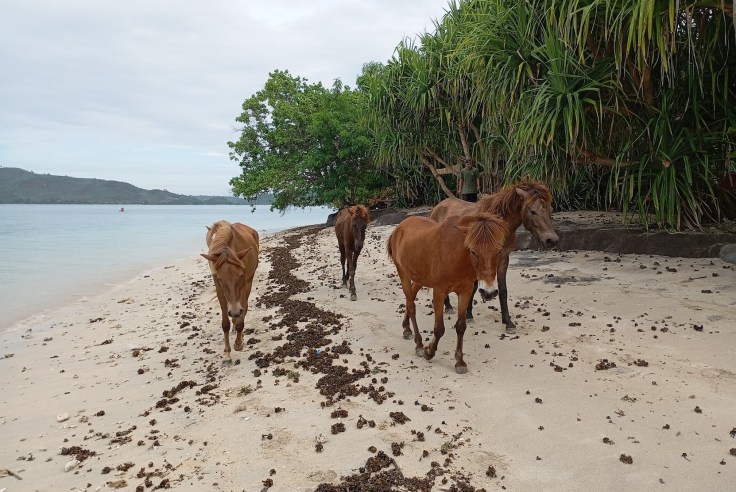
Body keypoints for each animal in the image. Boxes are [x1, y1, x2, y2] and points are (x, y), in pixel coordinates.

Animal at [201, 220, 259, 359]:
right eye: (219, 278)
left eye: (241, 275)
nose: (235, 311)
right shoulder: (220, 289)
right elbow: (225, 323)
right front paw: (227, 352)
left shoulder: (245, 286)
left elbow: (242, 315)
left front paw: (238, 343)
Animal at [387, 212, 509, 374]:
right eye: (473, 251)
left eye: (499, 251)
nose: (488, 292)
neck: (456, 256)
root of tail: (399, 227)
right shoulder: (439, 292)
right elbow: (439, 329)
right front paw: (429, 352)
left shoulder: (465, 292)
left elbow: (461, 326)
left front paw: (460, 362)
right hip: (404, 274)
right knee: (411, 306)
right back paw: (419, 345)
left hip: (419, 278)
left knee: (409, 299)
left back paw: (406, 328)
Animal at [429, 182, 559, 333]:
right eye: (533, 211)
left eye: (550, 209)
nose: (552, 240)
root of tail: (439, 205)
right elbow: (474, 287)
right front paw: (468, 314)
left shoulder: (503, 259)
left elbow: (502, 290)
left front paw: (508, 322)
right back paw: (447, 306)